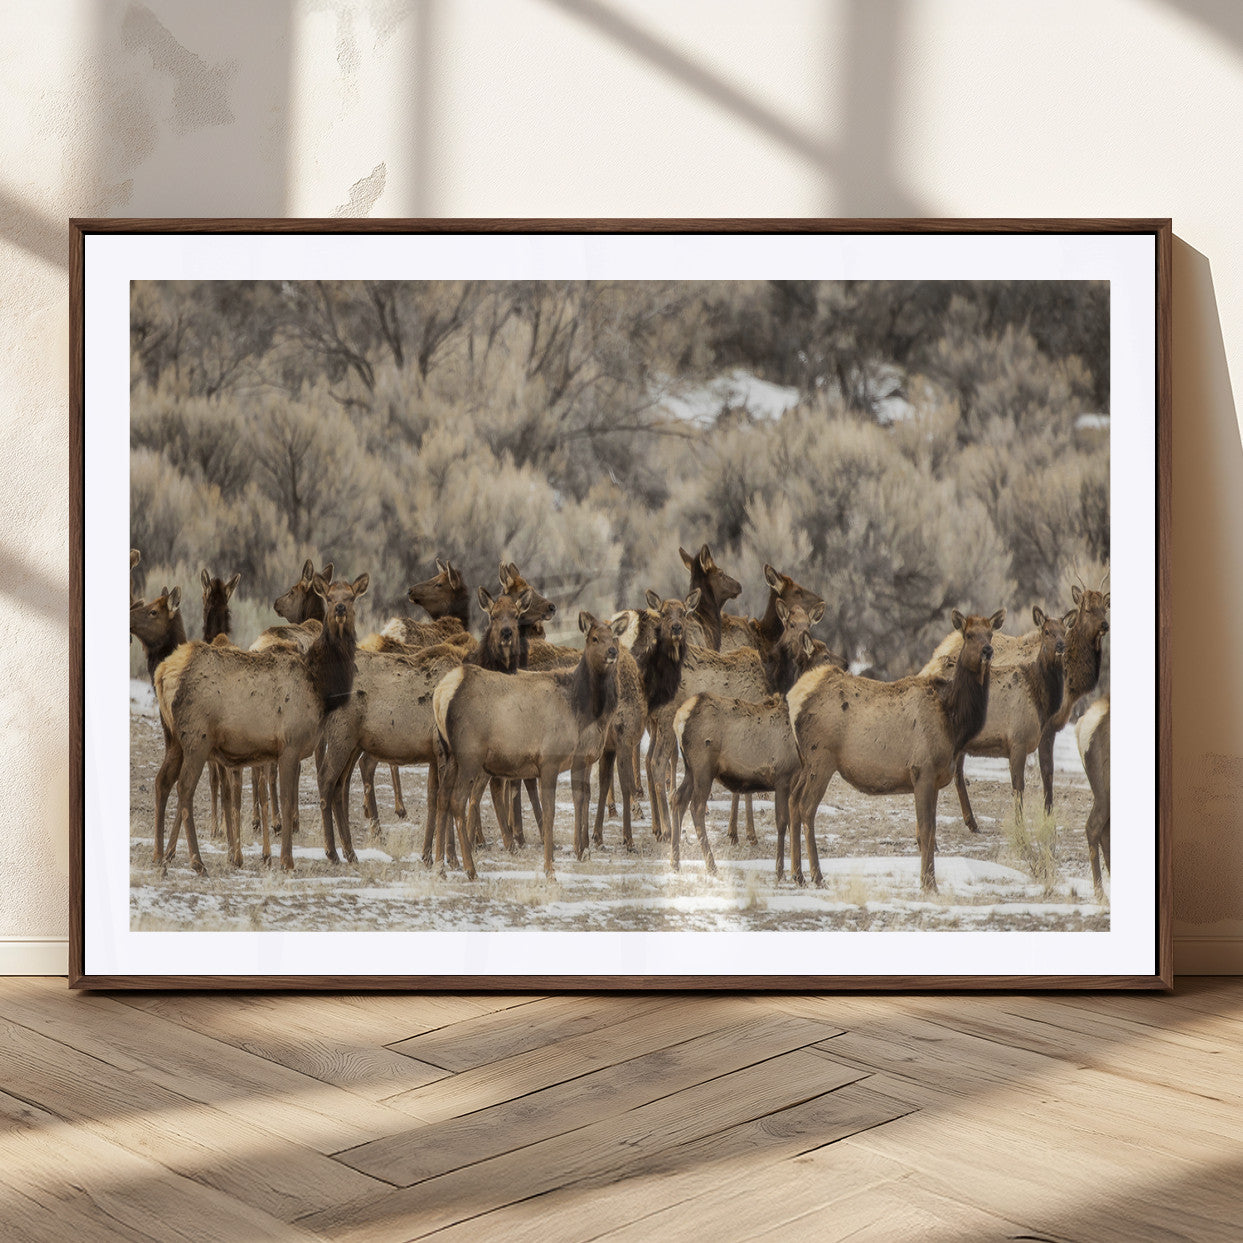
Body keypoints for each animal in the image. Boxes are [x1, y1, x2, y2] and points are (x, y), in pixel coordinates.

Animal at [153, 572, 369, 874]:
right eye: (329, 597)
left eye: (351, 597)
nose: (339, 609)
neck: (321, 686)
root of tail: (162, 673)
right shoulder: (290, 745)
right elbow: (287, 803)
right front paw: (287, 861)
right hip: (196, 738)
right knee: (184, 788)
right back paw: (197, 861)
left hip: (172, 737)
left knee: (161, 782)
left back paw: (158, 855)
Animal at [432, 611, 627, 880]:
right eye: (594, 638)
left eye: (615, 637)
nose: (612, 651)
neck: (582, 711)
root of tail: (442, 693)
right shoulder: (549, 759)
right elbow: (550, 812)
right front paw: (549, 868)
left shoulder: (580, 760)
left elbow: (581, 798)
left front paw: (581, 852)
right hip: (470, 754)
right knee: (458, 800)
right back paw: (470, 869)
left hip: (450, 753)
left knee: (442, 797)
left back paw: (440, 866)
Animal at [670, 601, 828, 875]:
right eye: (790, 624)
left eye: (810, 624)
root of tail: (681, 717)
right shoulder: (782, 776)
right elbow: (782, 820)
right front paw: (781, 870)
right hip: (703, 766)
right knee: (695, 806)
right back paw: (711, 864)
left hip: (690, 767)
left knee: (678, 799)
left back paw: (676, 861)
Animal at [787, 608, 1005, 892]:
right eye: (968, 635)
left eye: (990, 633)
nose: (988, 650)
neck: (953, 722)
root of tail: (794, 698)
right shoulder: (922, 770)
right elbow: (926, 830)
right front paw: (928, 884)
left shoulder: (935, 778)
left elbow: (928, 833)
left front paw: (929, 881)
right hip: (820, 759)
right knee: (806, 807)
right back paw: (816, 875)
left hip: (805, 762)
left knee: (792, 801)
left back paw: (796, 874)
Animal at [923, 605, 1073, 833]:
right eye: (1046, 631)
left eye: (1065, 631)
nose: (1061, 646)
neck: (1041, 702)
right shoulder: (1018, 740)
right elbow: (1018, 788)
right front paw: (1020, 829)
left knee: (956, 773)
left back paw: (972, 823)